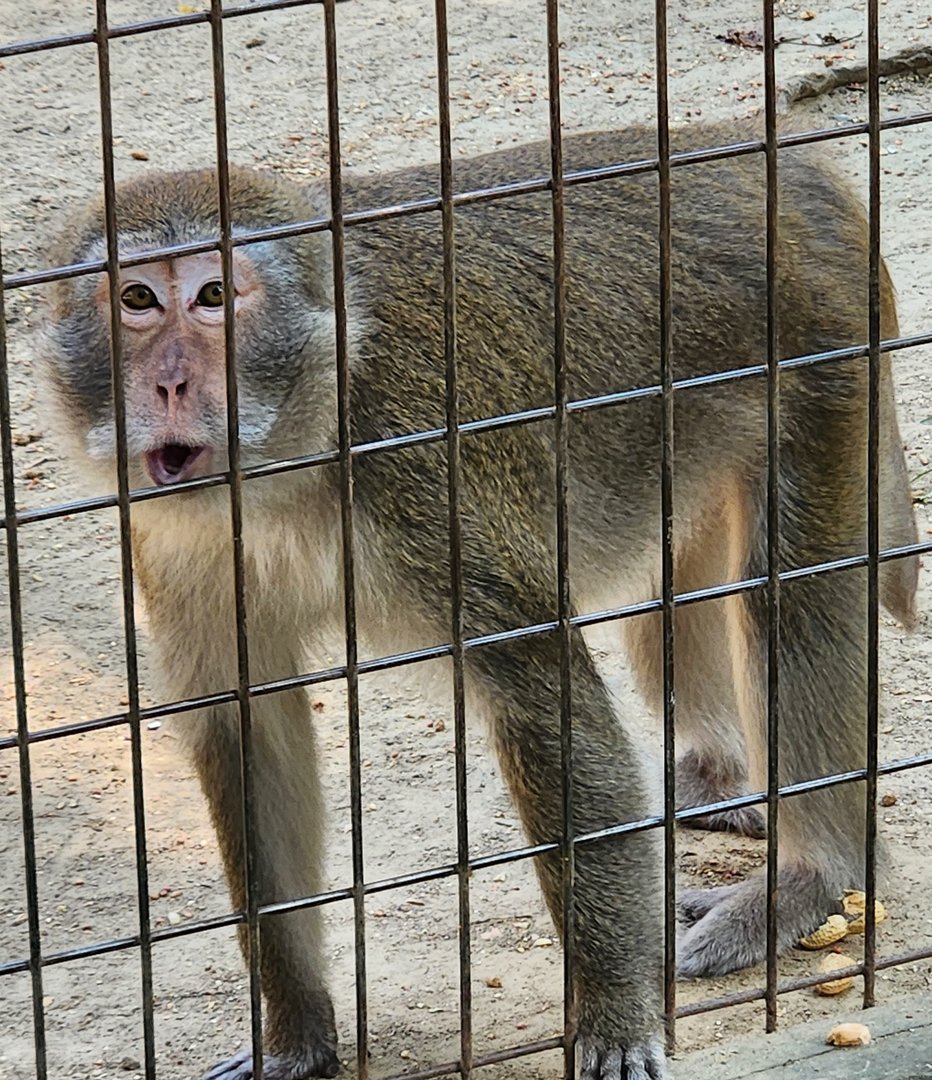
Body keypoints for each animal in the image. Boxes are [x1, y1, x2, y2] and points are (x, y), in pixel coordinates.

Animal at [41, 122, 919, 1080]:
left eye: (210, 297)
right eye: (134, 299)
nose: (168, 382)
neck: (299, 454)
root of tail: (776, 155)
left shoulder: (426, 469)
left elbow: (545, 698)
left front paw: (614, 1020)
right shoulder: (181, 542)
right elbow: (248, 730)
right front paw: (295, 1035)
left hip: (822, 350)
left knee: (792, 597)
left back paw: (808, 878)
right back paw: (722, 780)